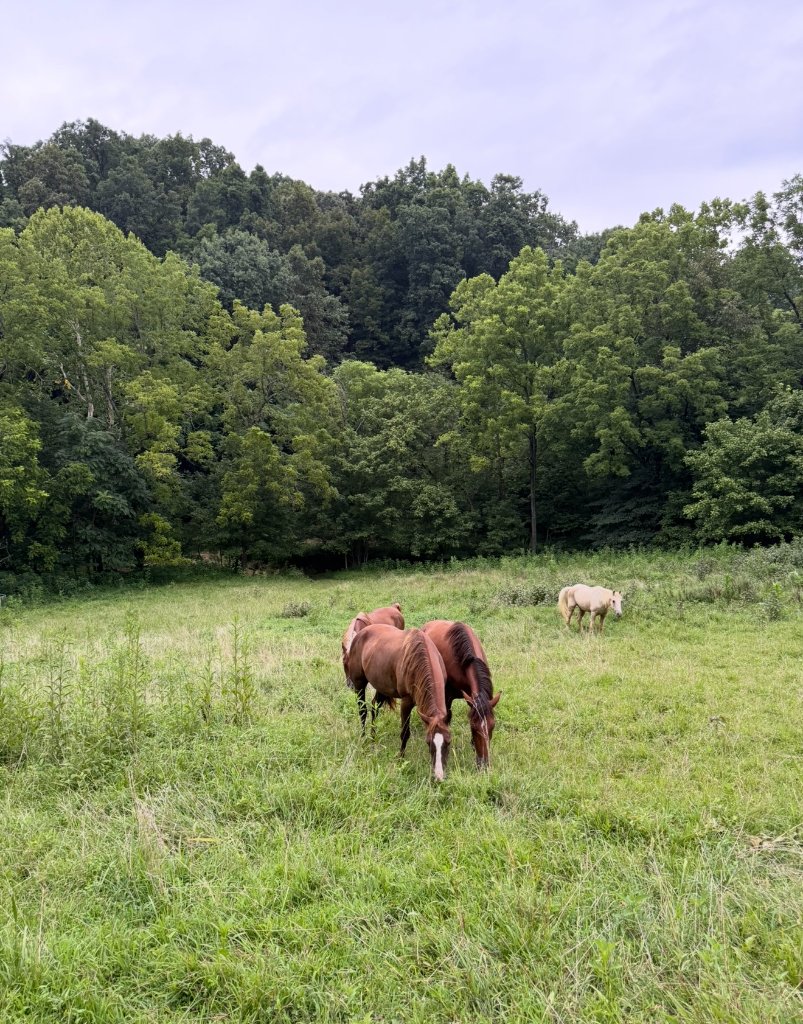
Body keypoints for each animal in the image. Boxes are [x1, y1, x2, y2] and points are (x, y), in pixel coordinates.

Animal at [345, 625, 452, 780]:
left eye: (448, 742)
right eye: (428, 742)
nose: (439, 776)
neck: (420, 657)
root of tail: (361, 633)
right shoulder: (406, 702)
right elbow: (405, 733)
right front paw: (400, 758)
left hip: (381, 685)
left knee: (374, 708)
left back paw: (373, 737)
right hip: (359, 684)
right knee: (363, 710)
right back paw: (364, 738)